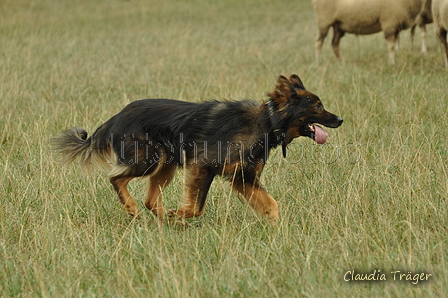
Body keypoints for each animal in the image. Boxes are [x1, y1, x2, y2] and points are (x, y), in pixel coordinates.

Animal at [55, 74, 344, 224]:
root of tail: (116, 117)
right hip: (149, 159)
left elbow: (271, 204)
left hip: (166, 164)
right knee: (116, 178)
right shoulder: (204, 166)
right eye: (317, 106)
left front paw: (274, 227)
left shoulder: (243, 176)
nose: (341, 119)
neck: (267, 122)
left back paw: (163, 220)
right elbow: (198, 206)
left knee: (151, 199)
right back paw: (135, 209)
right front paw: (182, 214)